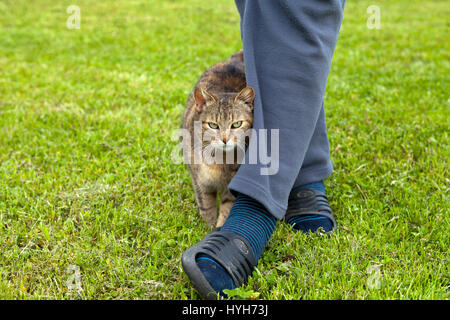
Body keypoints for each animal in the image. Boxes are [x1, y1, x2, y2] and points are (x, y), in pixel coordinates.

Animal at [182, 51, 253, 228]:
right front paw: (207, 227)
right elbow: (206, 205)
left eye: (237, 124)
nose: (225, 139)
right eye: (213, 125)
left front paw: (219, 226)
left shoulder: (233, 186)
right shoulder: (200, 181)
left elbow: (227, 207)